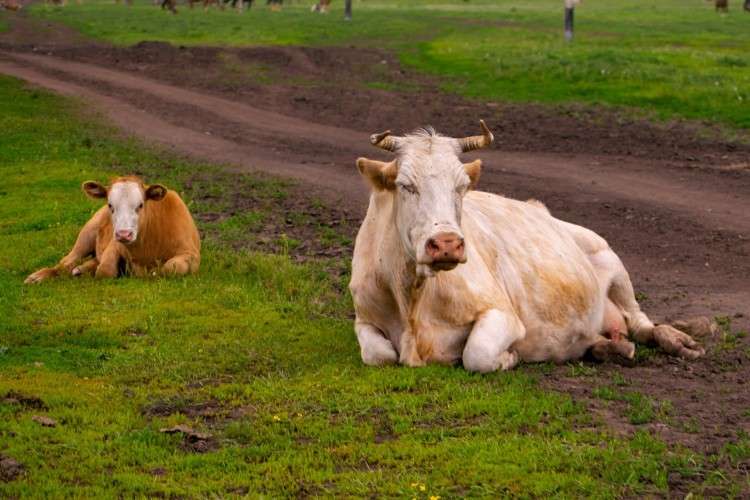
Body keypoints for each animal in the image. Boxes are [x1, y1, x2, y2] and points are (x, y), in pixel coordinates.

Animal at [25, 176, 200, 284]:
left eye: (140, 205)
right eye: (110, 205)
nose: (124, 234)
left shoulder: (191, 255)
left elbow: (171, 268)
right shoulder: (115, 245)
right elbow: (105, 270)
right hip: (87, 234)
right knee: (65, 263)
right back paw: (38, 277)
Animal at [349, 121, 705, 372]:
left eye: (462, 186)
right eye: (405, 185)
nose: (447, 244)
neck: (412, 295)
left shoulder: (502, 313)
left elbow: (476, 353)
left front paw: (510, 357)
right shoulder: (363, 318)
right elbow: (378, 354)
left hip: (612, 261)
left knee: (642, 324)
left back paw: (680, 343)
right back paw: (609, 348)